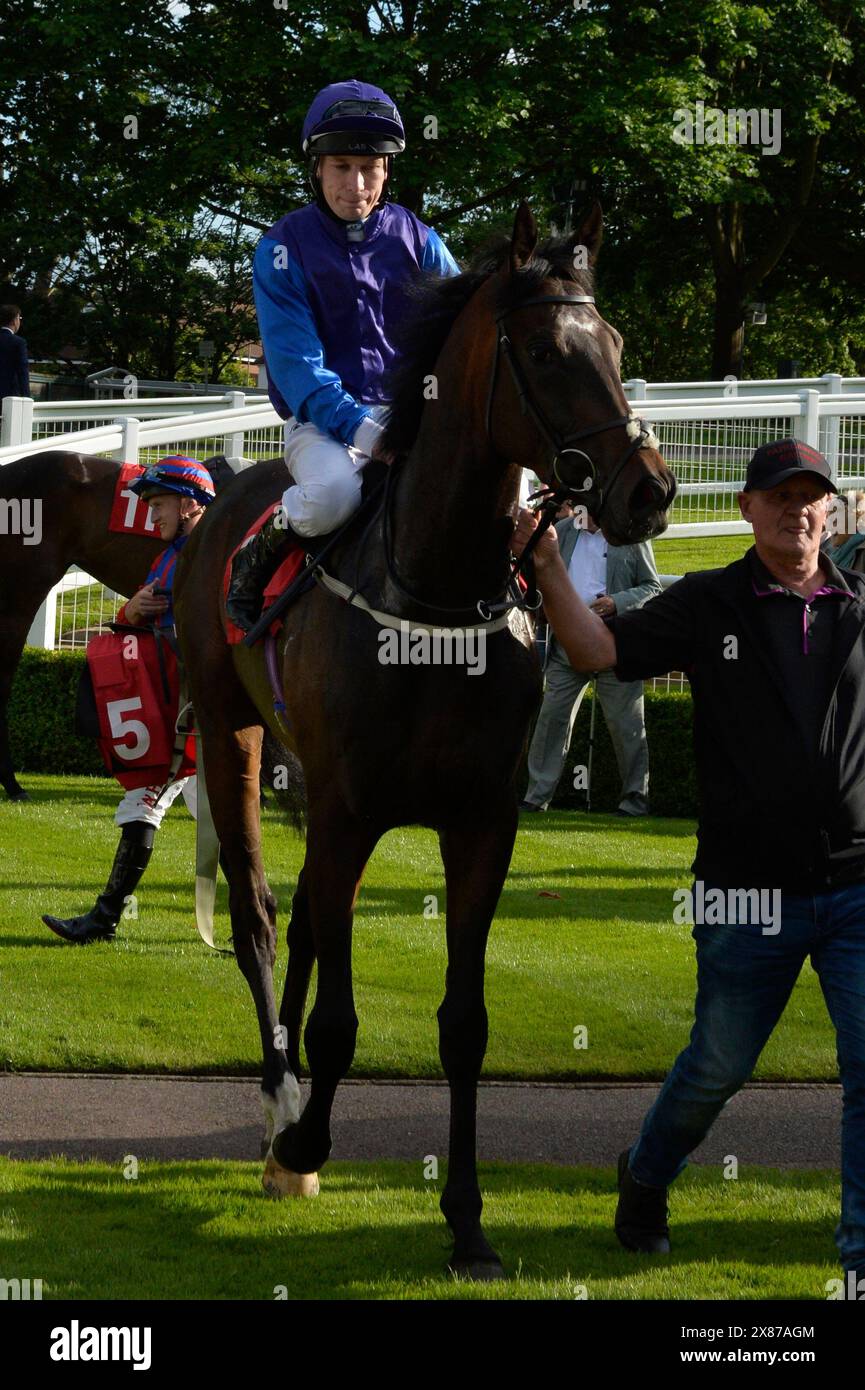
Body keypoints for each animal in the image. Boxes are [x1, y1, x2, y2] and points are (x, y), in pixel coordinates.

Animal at [176, 201, 678, 1273]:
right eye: (546, 351)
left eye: (616, 343)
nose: (650, 492)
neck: (433, 599)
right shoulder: (351, 811)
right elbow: (336, 1017)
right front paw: (307, 1140)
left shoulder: (481, 823)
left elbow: (464, 1024)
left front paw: (467, 1220)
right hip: (234, 736)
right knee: (261, 916)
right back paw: (280, 1112)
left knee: (307, 924)